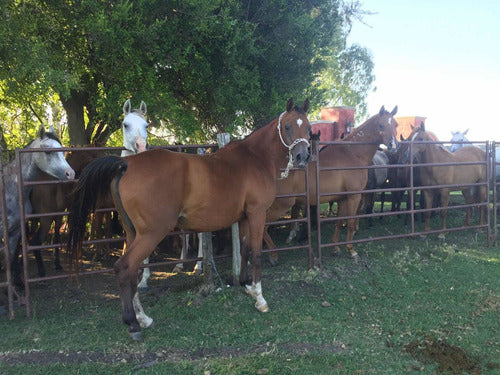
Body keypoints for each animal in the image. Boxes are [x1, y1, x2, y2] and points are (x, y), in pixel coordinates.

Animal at [66, 98, 308, 342]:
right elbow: (256, 253)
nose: (302, 157)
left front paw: (245, 285)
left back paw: (142, 318)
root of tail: (126, 165)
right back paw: (133, 323)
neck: (255, 158)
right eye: (287, 126)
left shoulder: (245, 218)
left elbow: (245, 250)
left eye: (307, 127)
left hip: (132, 232)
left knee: (131, 271)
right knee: (125, 267)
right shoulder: (257, 214)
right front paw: (259, 298)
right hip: (151, 233)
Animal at [266, 105, 398, 258]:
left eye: (396, 124)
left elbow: (339, 222)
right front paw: (351, 249)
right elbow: (350, 222)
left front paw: (336, 247)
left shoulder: (342, 198)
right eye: (381, 125)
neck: (353, 153)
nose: (393, 146)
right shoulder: (354, 196)